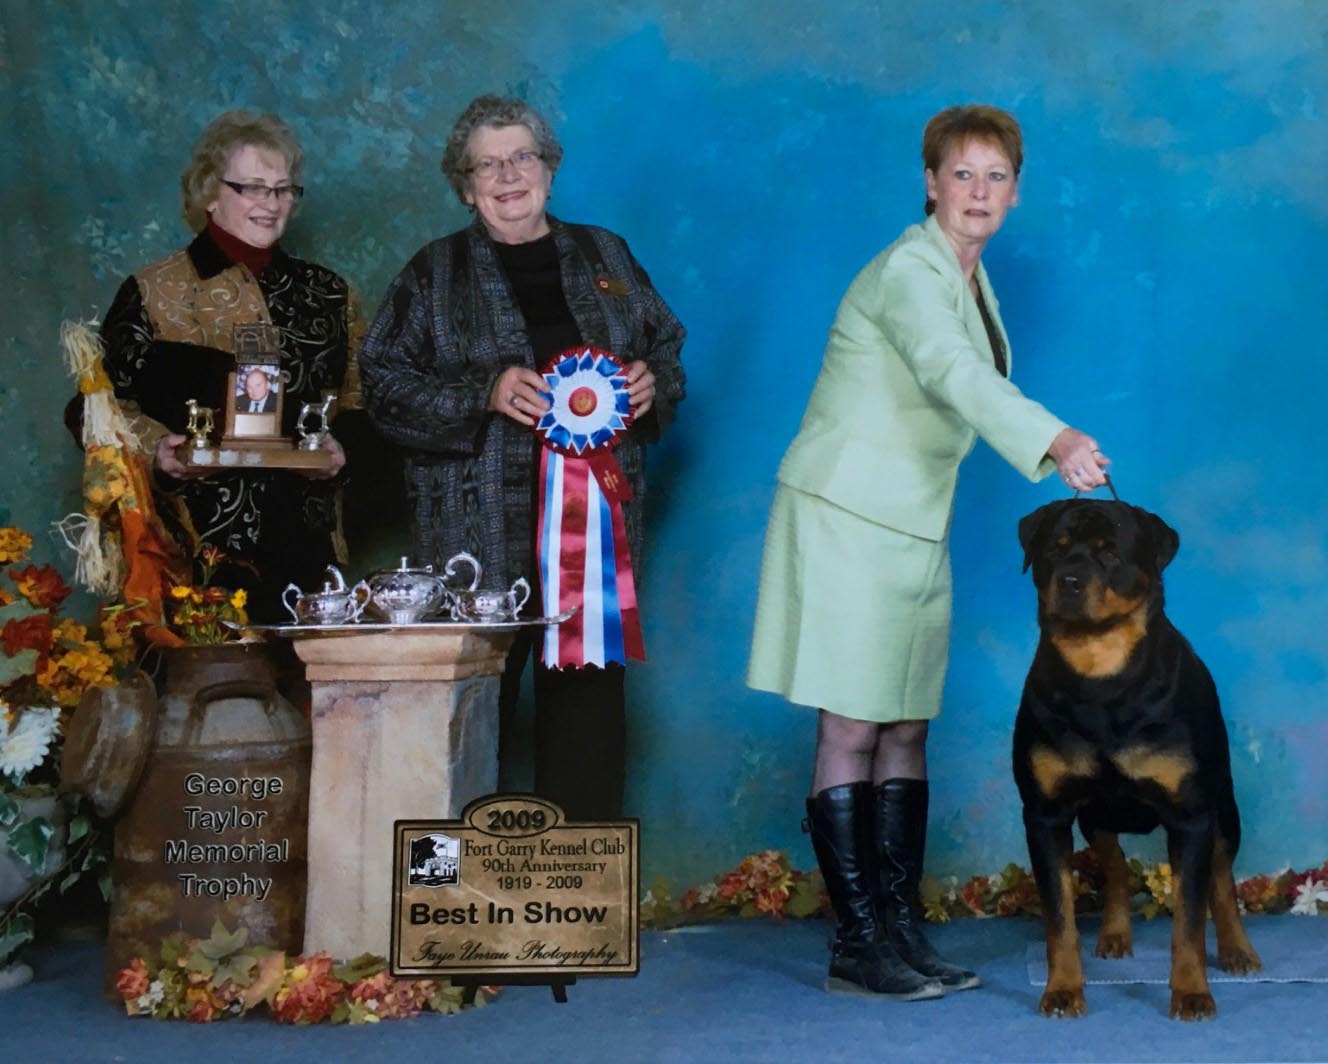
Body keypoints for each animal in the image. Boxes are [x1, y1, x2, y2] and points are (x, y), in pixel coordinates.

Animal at [1009, 499, 1258, 1020]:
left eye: (1109, 555)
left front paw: (1192, 992)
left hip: (1224, 807)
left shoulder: (1190, 815)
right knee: (1116, 865)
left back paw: (1237, 949)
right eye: (1054, 548)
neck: (1100, 674)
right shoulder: (1045, 814)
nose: (1069, 580)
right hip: (1096, 814)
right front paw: (1063, 989)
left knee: (1221, 879)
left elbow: (1190, 918)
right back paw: (1115, 932)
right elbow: (1058, 917)